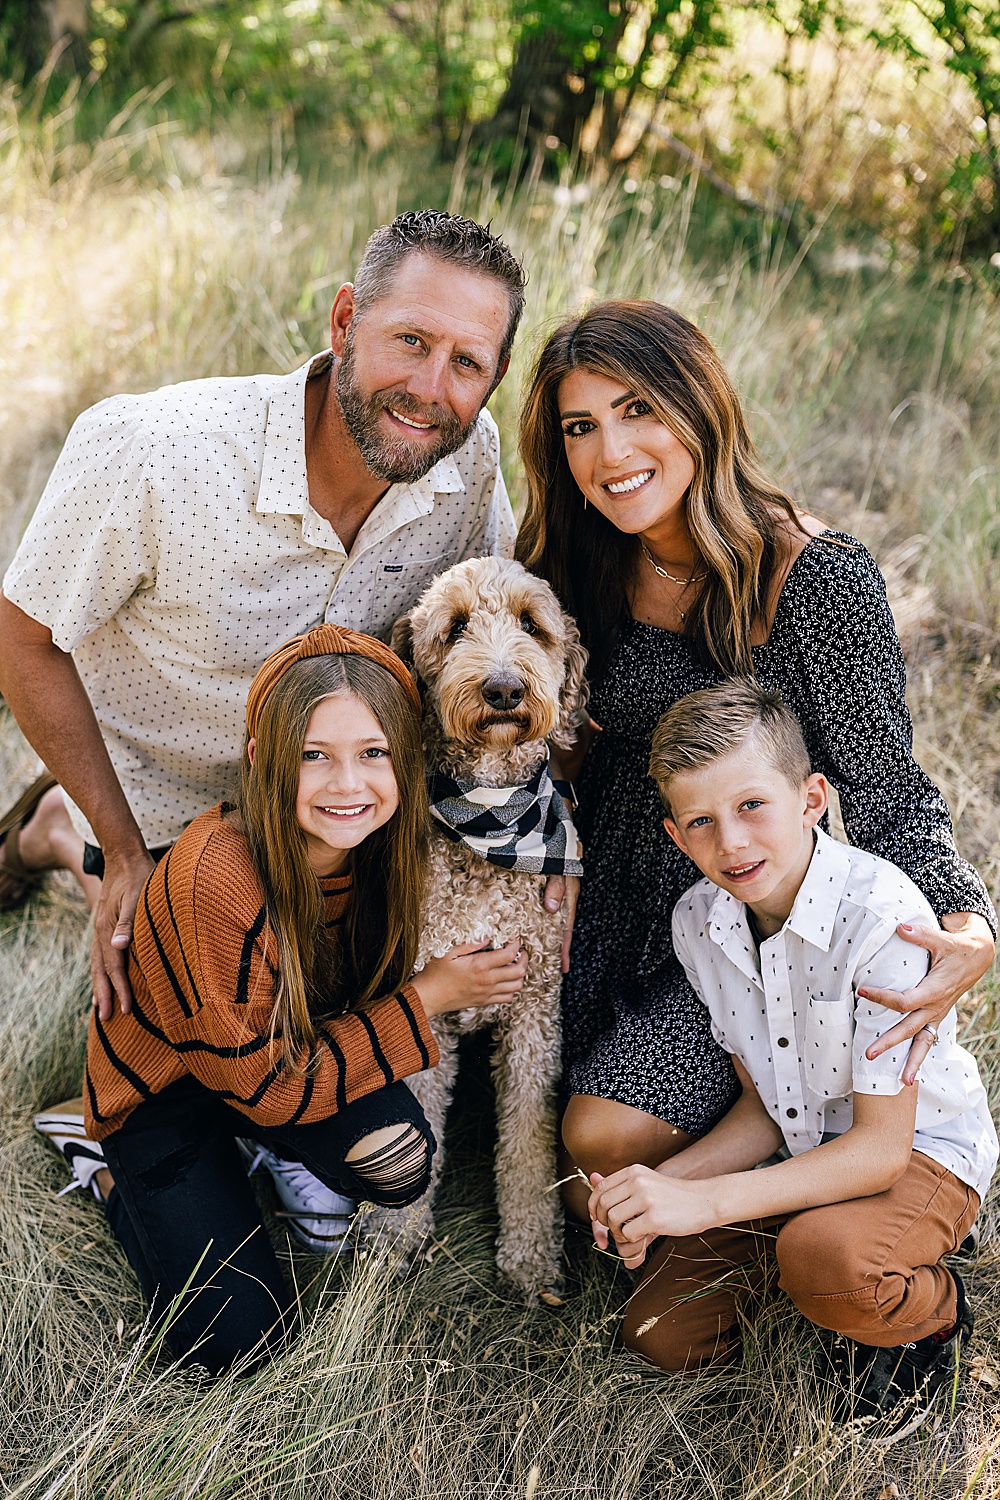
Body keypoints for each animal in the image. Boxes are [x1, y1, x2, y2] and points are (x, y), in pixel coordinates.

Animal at [383, 558, 587, 1296]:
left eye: (532, 623)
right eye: (454, 628)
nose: (503, 688)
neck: (490, 820)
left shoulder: (534, 1012)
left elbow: (529, 1139)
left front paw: (530, 1257)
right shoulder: (426, 1006)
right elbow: (413, 1130)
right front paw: (393, 1240)